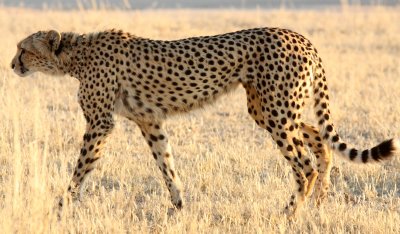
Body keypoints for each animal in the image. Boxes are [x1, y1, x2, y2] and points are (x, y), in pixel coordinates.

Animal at [10, 28, 398, 217]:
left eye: (23, 49)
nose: (12, 65)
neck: (74, 54)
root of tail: (300, 37)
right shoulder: (149, 120)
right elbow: (166, 165)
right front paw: (179, 206)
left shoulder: (100, 123)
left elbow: (80, 168)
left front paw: (61, 205)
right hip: (269, 108)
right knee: (320, 141)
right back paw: (319, 203)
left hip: (276, 110)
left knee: (304, 163)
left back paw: (289, 212)